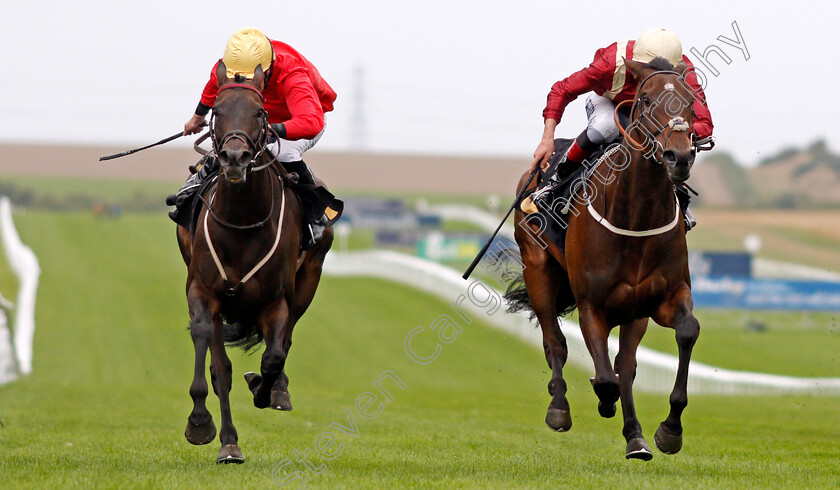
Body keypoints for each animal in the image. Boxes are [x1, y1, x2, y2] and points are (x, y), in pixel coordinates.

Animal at [176, 61, 334, 464]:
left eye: (260, 112)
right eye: (217, 111)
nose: (234, 159)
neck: (242, 223)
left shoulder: (275, 299)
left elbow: (274, 356)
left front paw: (268, 389)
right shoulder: (203, 290)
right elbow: (214, 362)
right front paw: (203, 425)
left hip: (309, 279)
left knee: (287, 337)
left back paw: (276, 388)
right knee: (222, 366)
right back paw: (228, 439)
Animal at [512, 56, 704, 460]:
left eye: (692, 103)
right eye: (645, 100)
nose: (678, 156)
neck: (636, 215)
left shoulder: (663, 297)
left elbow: (685, 332)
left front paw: (668, 430)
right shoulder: (591, 303)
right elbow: (602, 378)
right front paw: (600, 401)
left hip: (634, 311)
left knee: (626, 365)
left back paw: (636, 438)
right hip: (537, 268)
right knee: (555, 341)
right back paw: (559, 408)